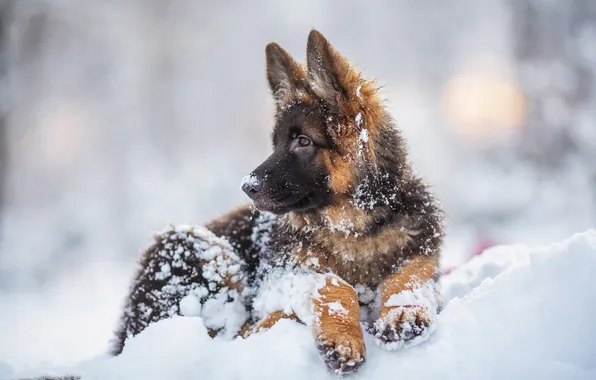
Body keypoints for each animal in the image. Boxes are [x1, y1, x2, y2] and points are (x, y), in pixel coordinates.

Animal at [110, 29, 442, 374]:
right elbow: (333, 283)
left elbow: (410, 275)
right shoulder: (281, 275)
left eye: (303, 141)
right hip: (198, 244)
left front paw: (404, 311)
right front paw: (342, 337)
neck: (352, 229)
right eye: (277, 143)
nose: (247, 186)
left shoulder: (422, 253)